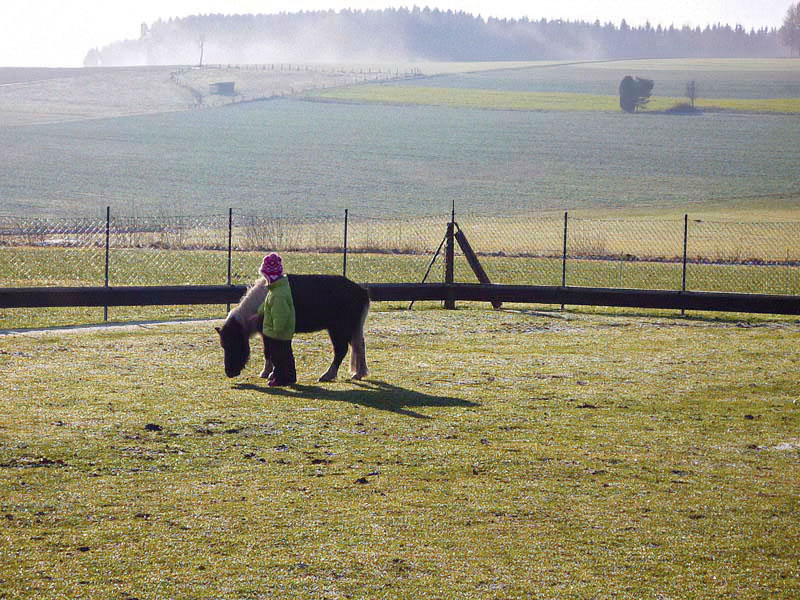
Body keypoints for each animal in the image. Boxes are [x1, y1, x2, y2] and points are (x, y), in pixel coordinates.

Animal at [215, 274, 370, 382]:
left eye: (234, 343)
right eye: (223, 345)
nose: (229, 372)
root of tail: (361, 291)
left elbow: (270, 351)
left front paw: (269, 373)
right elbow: (267, 352)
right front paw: (266, 372)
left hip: (338, 330)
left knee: (341, 350)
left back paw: (327, 375)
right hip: (351, 329)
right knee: (359, 346)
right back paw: (358, 373)